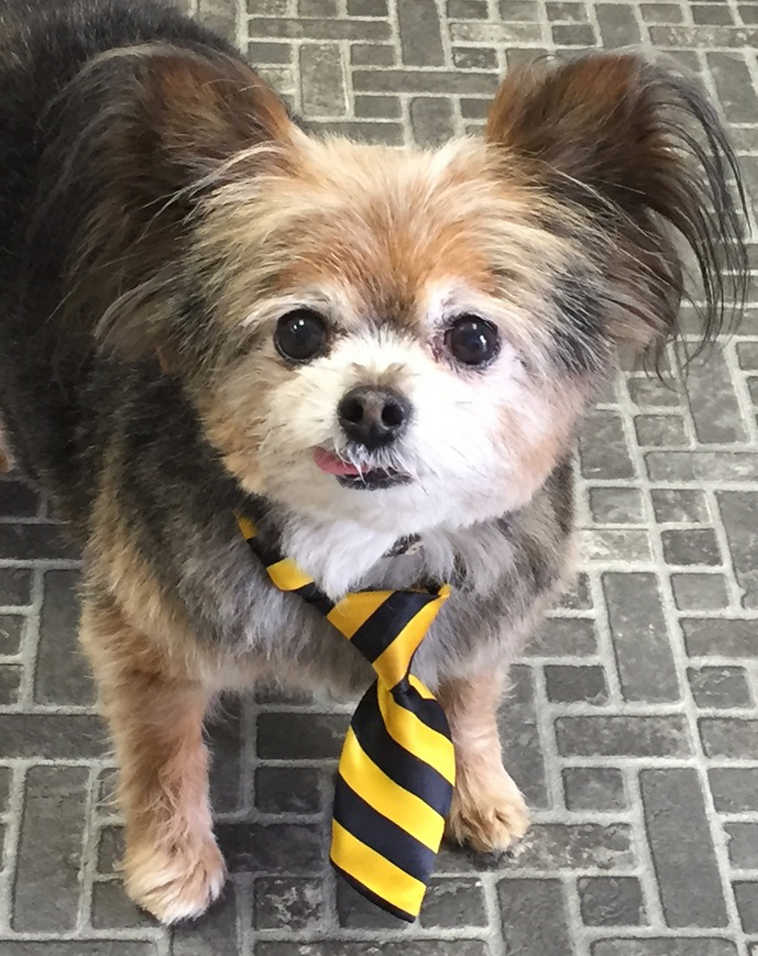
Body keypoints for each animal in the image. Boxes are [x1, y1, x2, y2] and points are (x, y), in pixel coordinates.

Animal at [0, 0, 748, 928]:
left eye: (473, 336)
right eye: (299, 331)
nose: (373, 406)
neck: (367, 550)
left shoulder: (482, 607)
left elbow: (467, 696)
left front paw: (478, 790)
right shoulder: (147, 634)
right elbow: (163, 752)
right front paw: (172, 863)